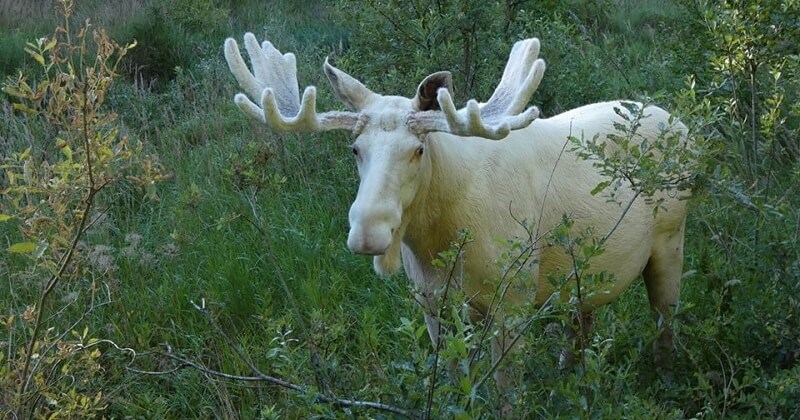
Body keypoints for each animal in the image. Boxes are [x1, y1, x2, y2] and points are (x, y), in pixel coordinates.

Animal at [223, 33, 688, 390]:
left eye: (418, 149)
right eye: (355, 148)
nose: (369, 233)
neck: (439, 239)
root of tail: (681, 122)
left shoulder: (513, 298)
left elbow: (506, 391)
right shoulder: (430, 302)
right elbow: (450, 377)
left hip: (671, 239)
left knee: (665, 321)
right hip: (582, 274)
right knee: (581, 326)